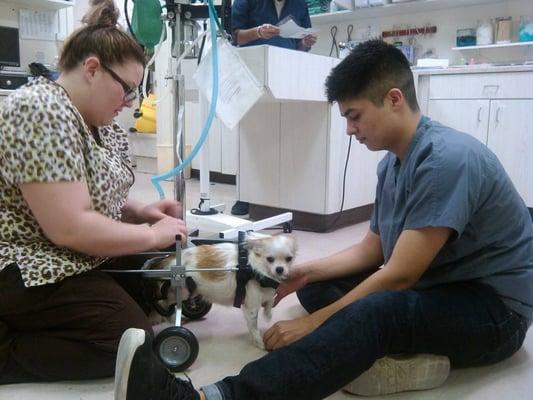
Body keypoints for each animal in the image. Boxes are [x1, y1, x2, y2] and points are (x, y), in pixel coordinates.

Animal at [152, 233, 298, 348]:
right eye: (270, 259)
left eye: (289, 259)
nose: (280, 269)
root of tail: (168, 259)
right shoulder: (251, 307)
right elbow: (254, 327)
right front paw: (259, 342)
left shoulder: (266, 294)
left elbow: (269, 302)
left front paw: (268, 314)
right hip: (181, 290)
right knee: (165, 304)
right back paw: (167, 318)